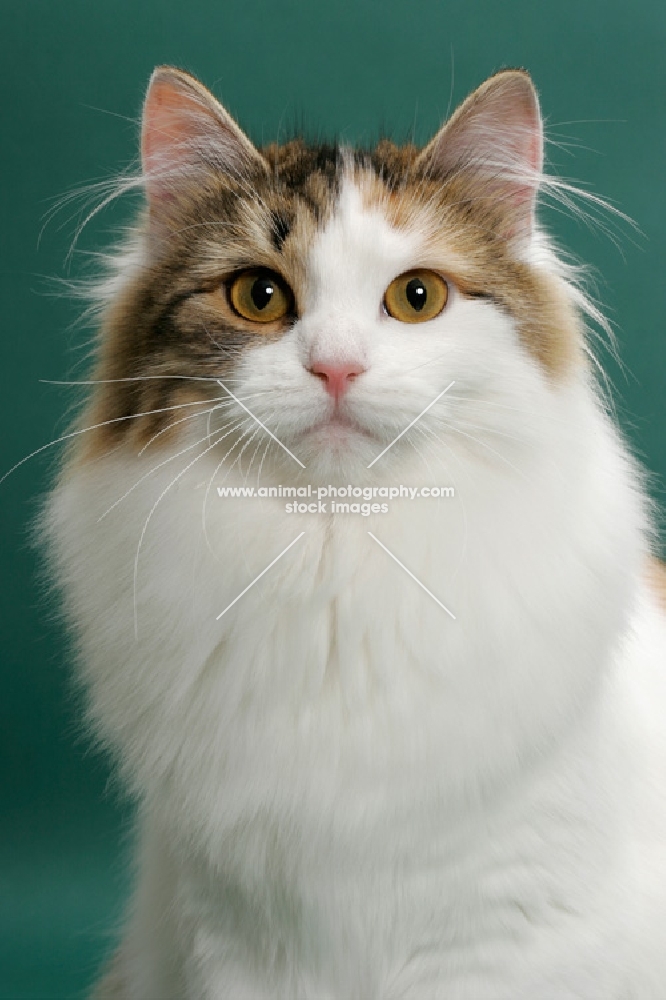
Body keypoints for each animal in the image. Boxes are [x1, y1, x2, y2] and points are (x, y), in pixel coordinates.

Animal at [40, 66, 664, 996]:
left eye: (417, 298)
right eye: (259, 296)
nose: (336, 367)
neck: (337, 563)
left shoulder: (498, 941)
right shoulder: (236, 935)